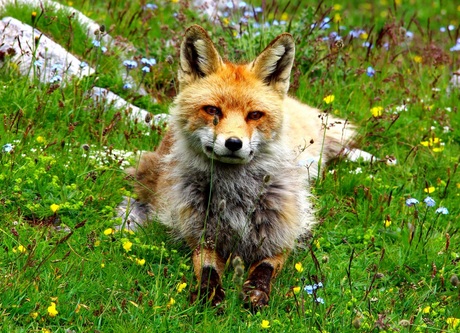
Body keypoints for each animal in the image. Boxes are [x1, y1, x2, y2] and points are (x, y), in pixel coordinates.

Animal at [120, 24, 358, 308]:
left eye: (254, 115)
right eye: (212, 110)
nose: (233, 143)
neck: (237, 195)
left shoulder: (281, 236)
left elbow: (265, 268)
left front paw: (256, 293)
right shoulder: (201, 235)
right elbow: (206, 269)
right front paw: (210, 295)